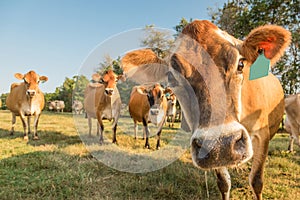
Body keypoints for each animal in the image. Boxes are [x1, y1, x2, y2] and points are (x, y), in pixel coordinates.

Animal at [121, 19, 290, 199]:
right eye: (171, 77)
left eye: (240, 64)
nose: (221, 145)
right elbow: (224, 183)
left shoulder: (263, 134)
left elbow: (256, 181)